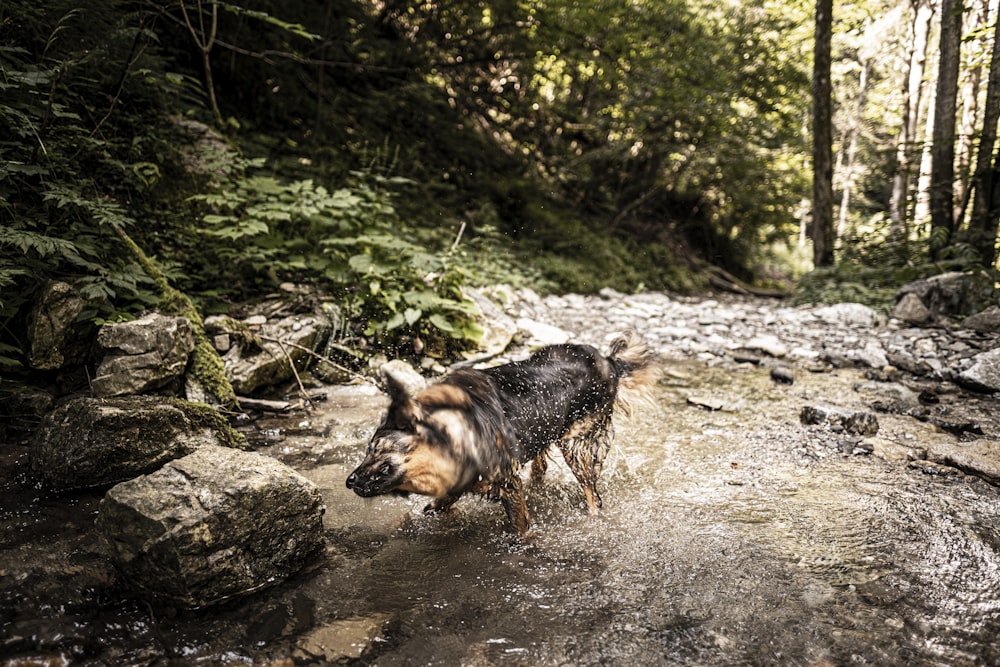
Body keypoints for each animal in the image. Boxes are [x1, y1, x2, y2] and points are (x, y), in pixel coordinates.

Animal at [344, 334, 656, 536]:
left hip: (577, 446)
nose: (349, 481)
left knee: (593, 494)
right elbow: (434, 507)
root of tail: (608, 360)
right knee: (542, 459)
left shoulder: (507, 484)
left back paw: (593, 516)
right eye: (367, 449)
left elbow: (521, 530)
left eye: (377, 449)